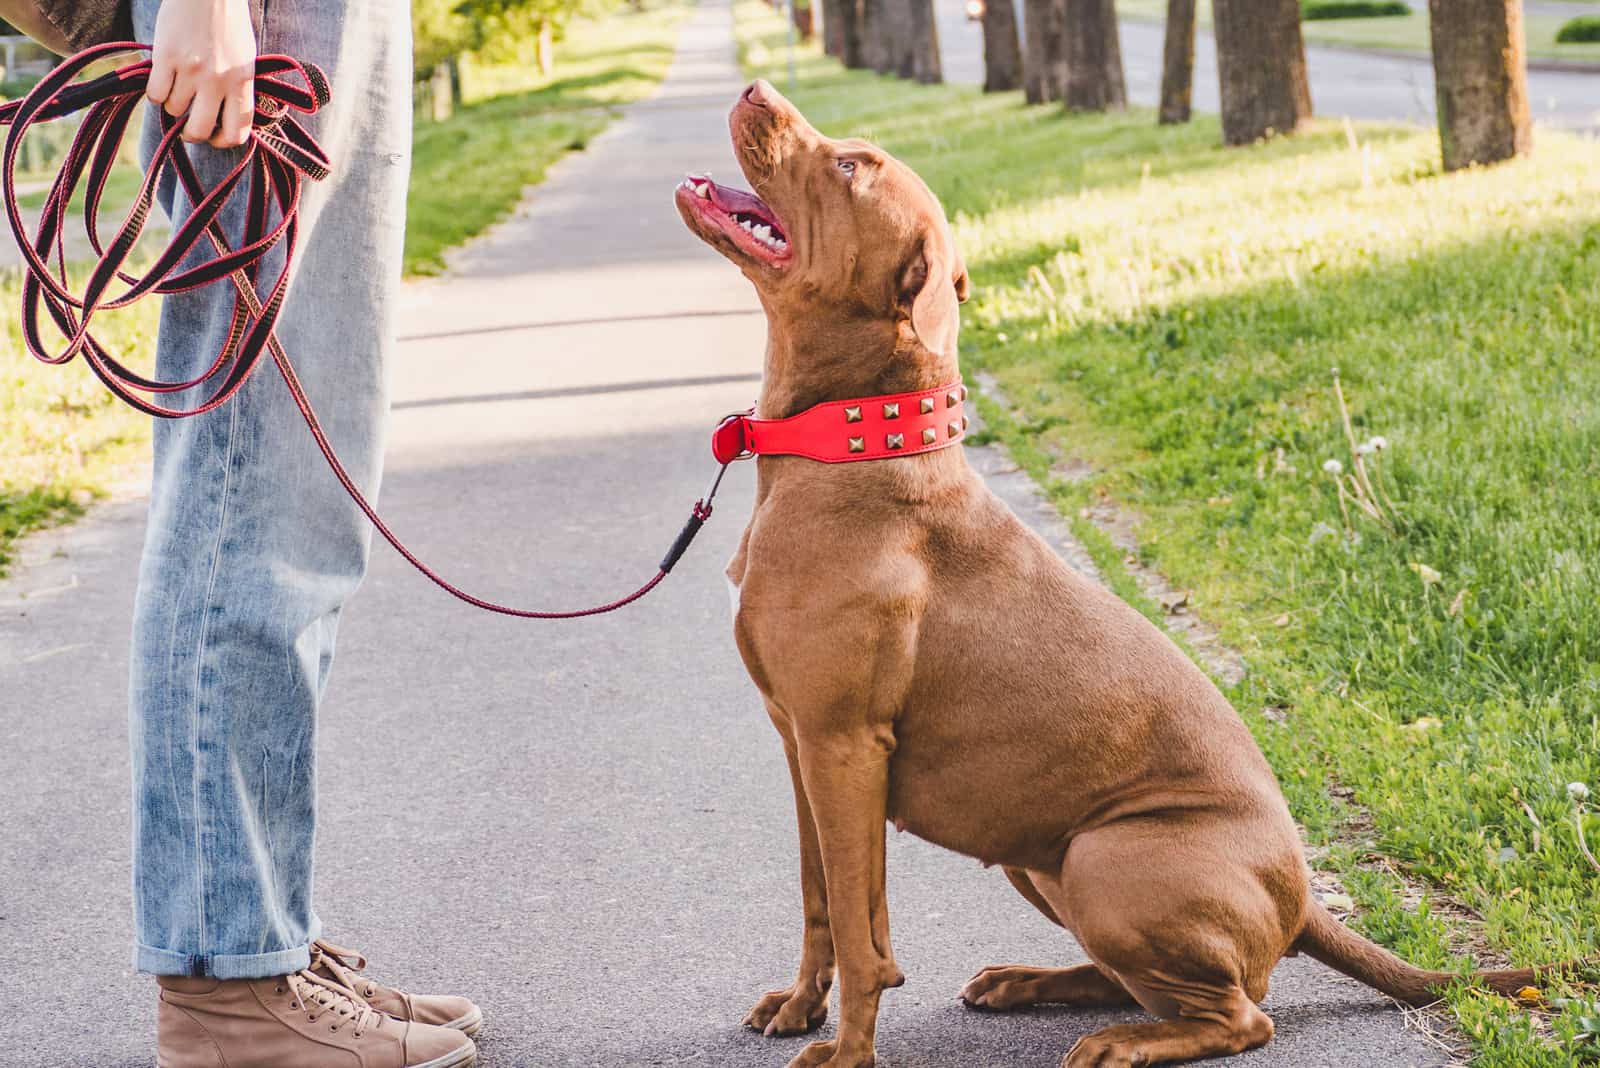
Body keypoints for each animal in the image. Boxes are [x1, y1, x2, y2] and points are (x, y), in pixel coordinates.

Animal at [675, 79, 1548, 1061]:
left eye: (852, 167)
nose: (756, 88)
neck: (852, 444)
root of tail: (1304, 897)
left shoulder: (843, 744)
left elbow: (863, 938)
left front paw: (849, 1050)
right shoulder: (803, 747)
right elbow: (827, 901)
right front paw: (802, 1005)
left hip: (1105, 857)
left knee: (1241, 1014)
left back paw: (1121, 1039)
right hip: (1037, 853)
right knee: (1142, 980)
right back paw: (1030, 984)